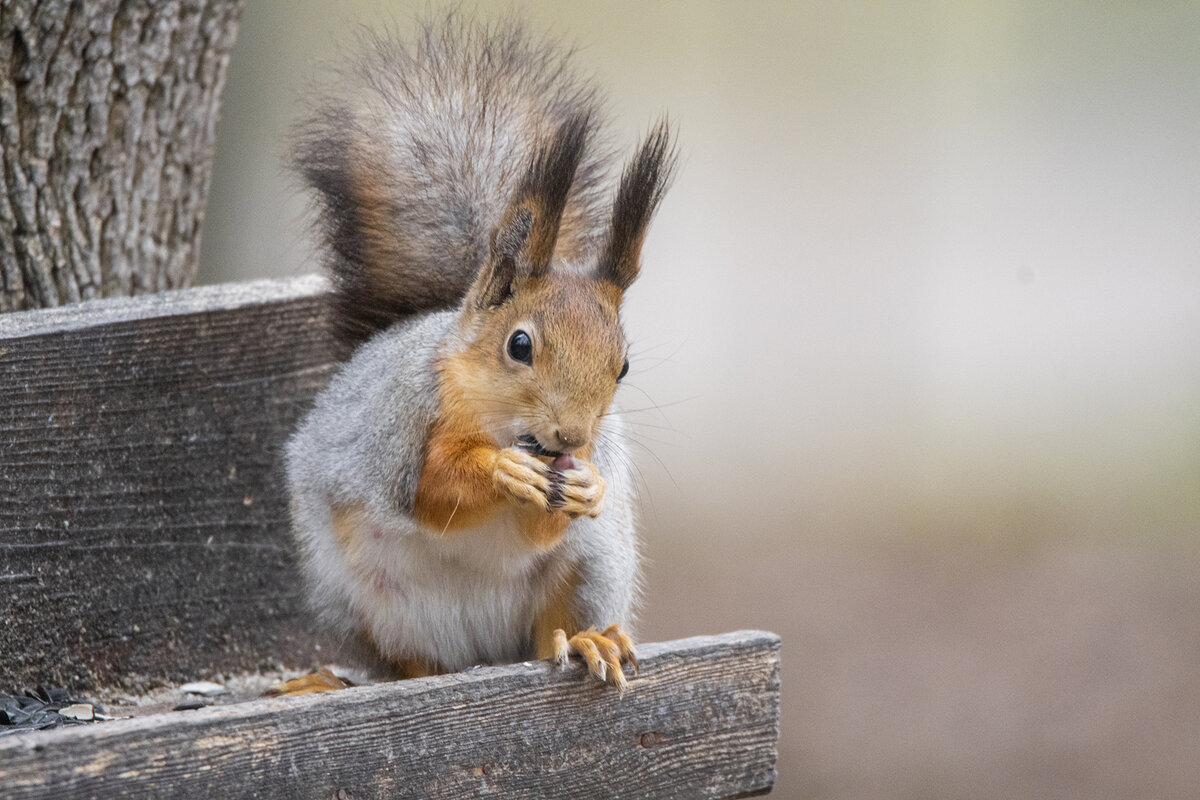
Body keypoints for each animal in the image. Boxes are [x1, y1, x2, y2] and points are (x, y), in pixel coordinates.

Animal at [280, 15, 676, 690]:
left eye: (622, 365)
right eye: (519, 345)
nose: (572, 437)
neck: (499, 418)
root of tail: (484, 654)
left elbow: (544, 525)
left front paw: (589, 487)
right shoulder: (404, 425)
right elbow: (431, 492)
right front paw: (500, 471)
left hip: (590, 570)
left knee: (554, 632)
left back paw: (590, 641)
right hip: (365, 600)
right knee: (408, 667)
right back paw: (339, 680)